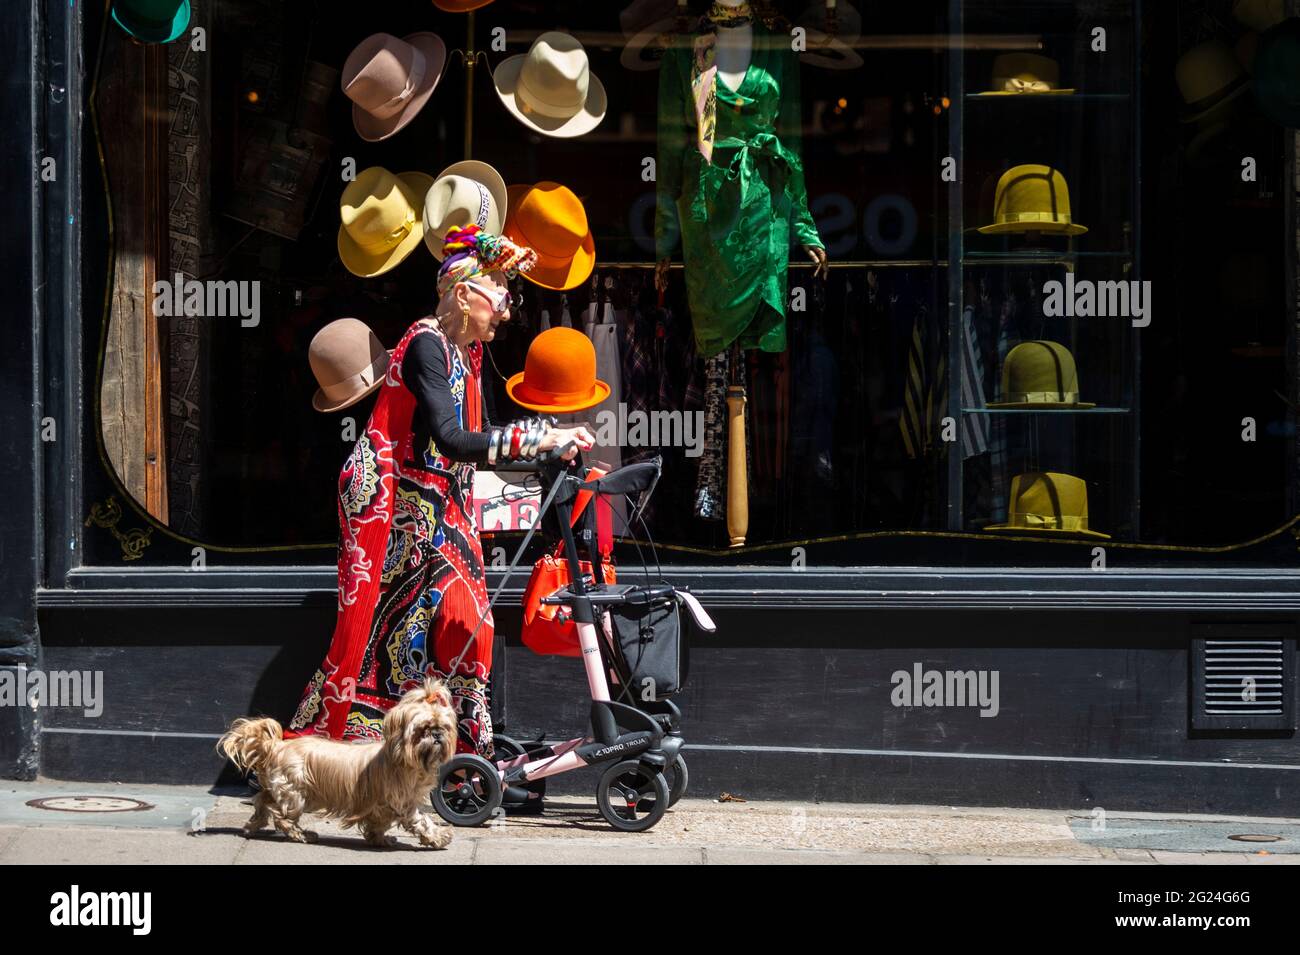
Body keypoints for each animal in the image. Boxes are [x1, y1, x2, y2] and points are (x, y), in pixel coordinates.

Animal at [222, 680, 462, 852]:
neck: (404, 758)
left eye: (444, 726)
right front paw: (439, 836)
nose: (437, 734)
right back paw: (302, 834)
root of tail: (276, 746)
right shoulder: (402, 801)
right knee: (283, 818)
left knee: (262, 802)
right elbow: (421, 820)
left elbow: (379, 823)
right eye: (423, 729)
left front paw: (380, 839)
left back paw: (252, 825)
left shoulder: (381, 804)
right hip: (295, 793)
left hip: (283, 790)